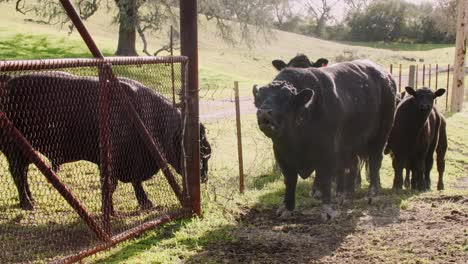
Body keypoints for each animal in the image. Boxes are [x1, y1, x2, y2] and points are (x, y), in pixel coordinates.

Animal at [0, 72, 212, 212]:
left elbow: (134, 182)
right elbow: (111, 185)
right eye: (203, 151)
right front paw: (110, 210)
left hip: (26, 151)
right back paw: (27, 203)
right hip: (15, 150)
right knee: (18, 173)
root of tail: (8, 82)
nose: (204, 177)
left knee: (23, 172)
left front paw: (145, 202)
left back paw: (30, 200)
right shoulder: (112, 162)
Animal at [254, 59, 396, 219]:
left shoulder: (328, 152)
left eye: (285, 99)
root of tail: (386, 76)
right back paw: (346, 196)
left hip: (380, 136)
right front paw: (286, 208)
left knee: (374, 162)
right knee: (353, 165)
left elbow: (325, 178)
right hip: (350, 144)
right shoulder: (281, 154)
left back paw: (373, 194)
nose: (264, 112)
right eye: (258, 99)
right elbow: (290, 180)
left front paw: (328, 210)